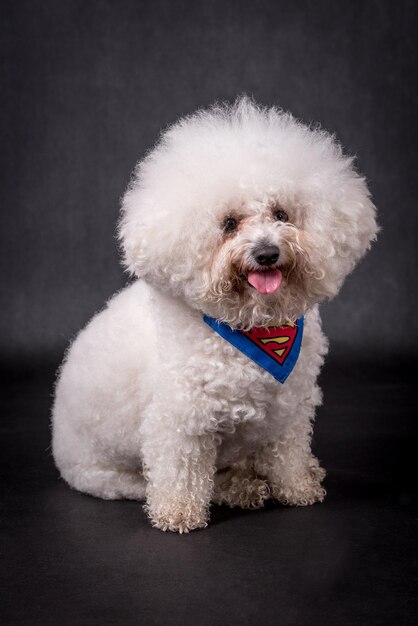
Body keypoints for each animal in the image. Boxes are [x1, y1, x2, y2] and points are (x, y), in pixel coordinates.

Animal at [50, 97, 378, 532]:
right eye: (228, 224)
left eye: (281, 214)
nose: (267, 253)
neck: (253, 326)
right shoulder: (179, 421)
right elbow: (181, 471)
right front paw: (178, 513)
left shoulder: (289, 408)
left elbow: (288, 455)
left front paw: (299, 489)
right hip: (109, 476)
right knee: (156, 482)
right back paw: (236, 490)